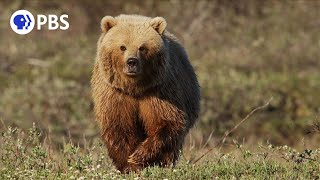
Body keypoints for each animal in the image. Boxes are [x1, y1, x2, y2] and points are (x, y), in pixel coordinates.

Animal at [90, 14, 200, 173]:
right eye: (122, 46)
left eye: (142, 47)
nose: (132, 62)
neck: (135, 88)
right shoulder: (115, 94)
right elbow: (119, 128)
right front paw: (129, 164)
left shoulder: (160, 91)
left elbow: (166, 122)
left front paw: (138, 156)